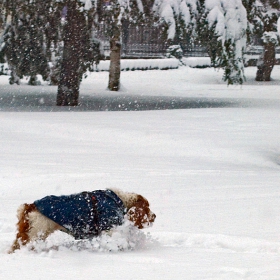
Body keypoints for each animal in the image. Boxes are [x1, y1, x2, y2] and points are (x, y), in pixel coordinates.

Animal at [9, 189, 156, 253]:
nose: (154, 216)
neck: (120, 201)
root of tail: (29, 206)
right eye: (147, 207)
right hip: (35, 233)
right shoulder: (109, 229)